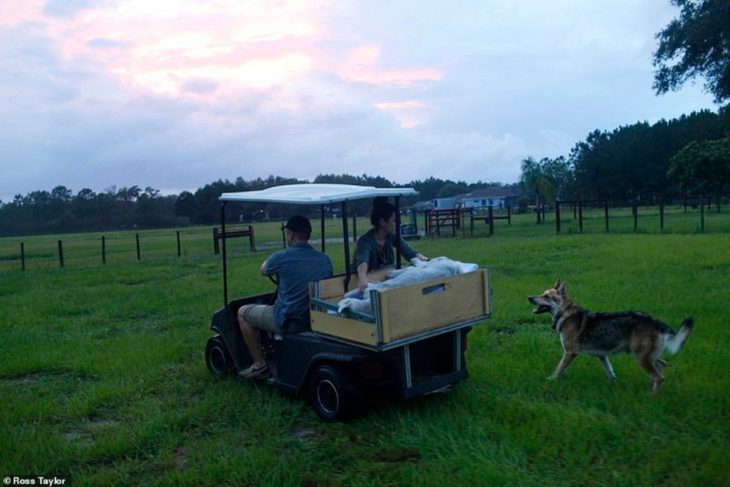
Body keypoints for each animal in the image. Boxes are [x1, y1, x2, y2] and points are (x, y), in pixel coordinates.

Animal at [528, 280, 692, 390]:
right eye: (542, 293)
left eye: (546, 296)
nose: (529, 297)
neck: (565, 313)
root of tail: (656, 321)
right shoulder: (602, 355)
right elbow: (610, 372)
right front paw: (613, 385)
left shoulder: (570, 352)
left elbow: (559, 369)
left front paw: (551, 380)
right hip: (647, 356)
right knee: (662, 366)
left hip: (640, 357)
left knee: (659, 377)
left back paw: (651, 396)